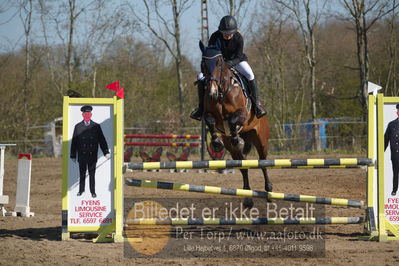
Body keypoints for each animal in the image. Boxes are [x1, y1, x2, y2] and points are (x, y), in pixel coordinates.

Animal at [199, 40, 272, 209]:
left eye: (219, 62)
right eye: (203, 63)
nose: (211, 92)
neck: (221, 92)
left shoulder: (242, 114)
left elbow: (233, 120)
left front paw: (236, 138)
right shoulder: (208, 114)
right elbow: (211, 120)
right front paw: (216, 142)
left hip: (261, 140)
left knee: (263, 162)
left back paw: (269, 192)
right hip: (234, 151)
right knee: (243, 167)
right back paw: (248, 199)